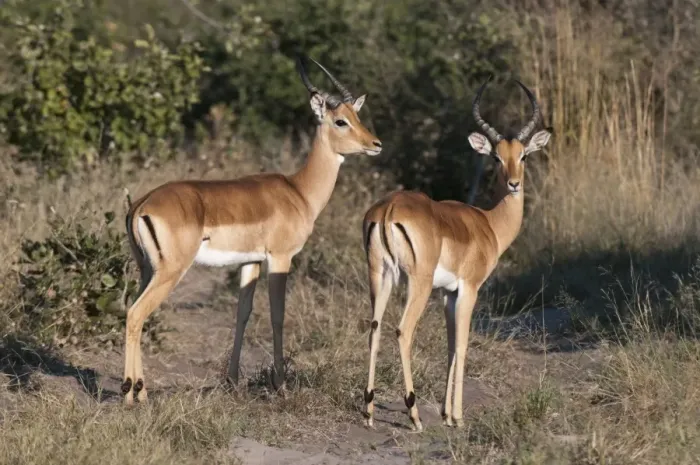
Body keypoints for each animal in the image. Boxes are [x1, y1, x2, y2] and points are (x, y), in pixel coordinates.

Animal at [121, 56, 382, 405]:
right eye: (340, 121)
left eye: (358, 116)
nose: (375, 144)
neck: (299, 192)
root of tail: (141, 204)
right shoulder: (281, 258)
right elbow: (277, 315)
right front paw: (281, 384)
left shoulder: (250, 261)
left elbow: (242, 313)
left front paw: (232, 381)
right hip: (170, 271)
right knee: (136, 314)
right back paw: (134, 395)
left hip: (146, 270)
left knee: (132, 312)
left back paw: (138, 390)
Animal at [361, 77, 551, 430]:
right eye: (496, 157)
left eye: (523, 156)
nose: (514, 184)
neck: (489, 225)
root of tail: (389, 207)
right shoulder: (469, 289)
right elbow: (462, 345)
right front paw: (459, 417)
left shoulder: (448, 293)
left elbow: (449, 346)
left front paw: (447, 413)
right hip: (417, 283)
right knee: (403, 331)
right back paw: (414, 415)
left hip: (380, 276)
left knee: (375, 328)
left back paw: (368, 411)